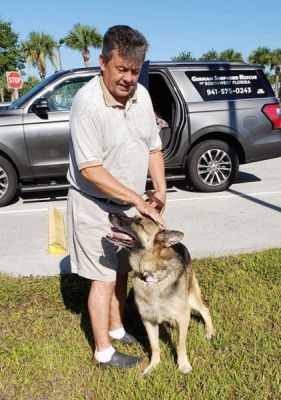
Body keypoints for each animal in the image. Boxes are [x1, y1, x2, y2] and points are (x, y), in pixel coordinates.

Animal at [107, 214, 214, 374]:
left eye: (139, 222)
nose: (111, 214)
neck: (151, 276)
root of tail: (178, 244)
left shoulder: (183, 317)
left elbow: (180, 345)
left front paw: (183, 364)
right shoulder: (148, 321)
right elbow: (154, 346)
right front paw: (154, 365)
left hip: (191, 298)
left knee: (205, 310)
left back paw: (209, 331)